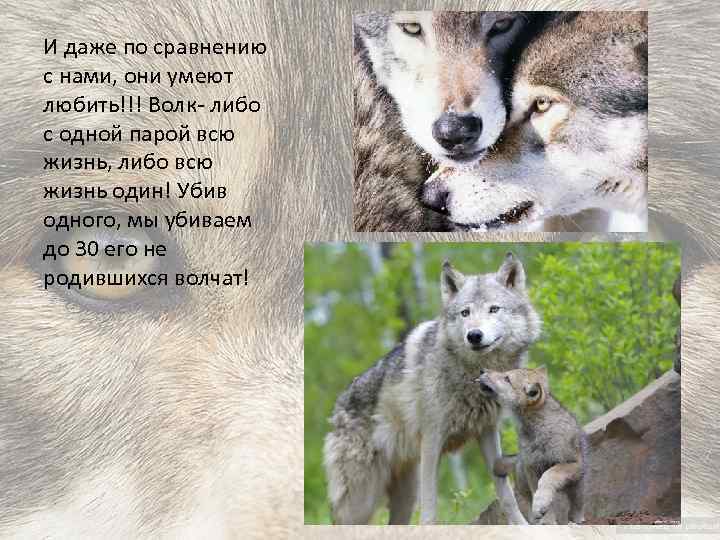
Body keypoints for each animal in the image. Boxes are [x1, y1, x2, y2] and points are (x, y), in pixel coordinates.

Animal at [323, 253, 541, 524]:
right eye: (465, 312)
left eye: (493, 309)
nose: (474, 335)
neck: (472, 375)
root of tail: (338, 406)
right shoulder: (431, 441)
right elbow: (430, 510)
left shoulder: (488, 432)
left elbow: (505, 495)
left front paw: (522, 525)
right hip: (361, 503)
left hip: (405, 497)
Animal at [478, 367, 587, 524]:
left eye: (507, 378)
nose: (482, 370)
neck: (538, 430)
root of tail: (518, 459)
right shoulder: (532, 468)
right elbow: (538, 494)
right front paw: (546, 521)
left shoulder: (571, 463)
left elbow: (549, 475)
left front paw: (541, 505)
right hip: (523, 476)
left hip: (578, 483)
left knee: (577, 505)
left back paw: (576, 520)